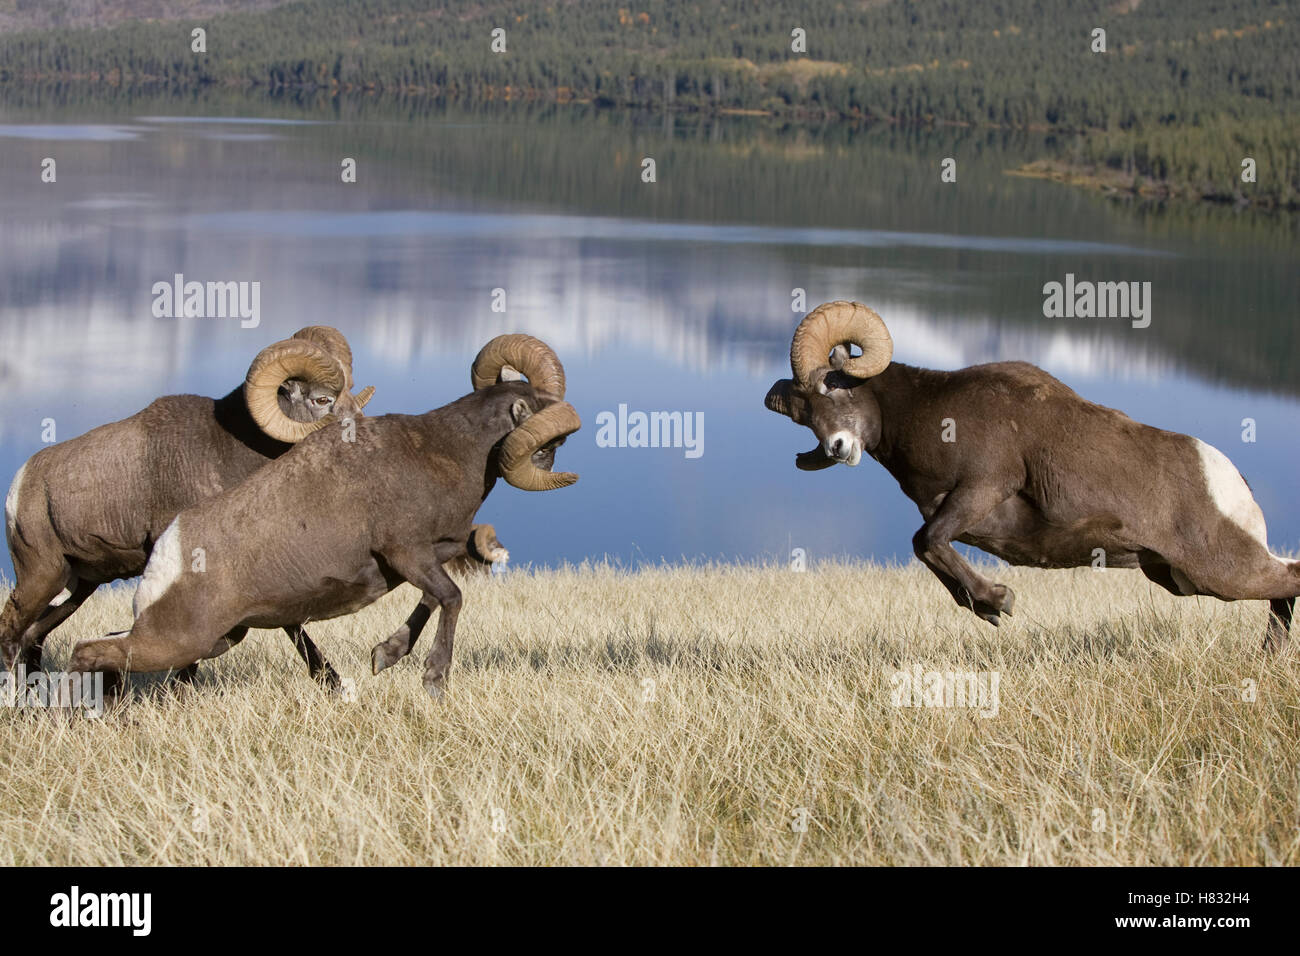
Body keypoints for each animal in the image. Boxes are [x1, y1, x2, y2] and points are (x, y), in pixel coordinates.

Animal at [1, 327, 376, 686]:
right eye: (322, 399)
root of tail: (20, 484)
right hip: (41, 575)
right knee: (12, 630)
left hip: (76, 587)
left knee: (33, 636)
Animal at [67, 334, 581, 700]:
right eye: (552, 442)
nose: (550, 465)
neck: (444, 452)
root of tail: (168, 553)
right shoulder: (407, 552)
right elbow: (451, 598)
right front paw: (434, 681)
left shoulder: (428, 559)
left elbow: (433, 600)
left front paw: (384, 656)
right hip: (179, 640)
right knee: (87, 652)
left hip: (217, 638)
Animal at [764, 300, 1298, 650]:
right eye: (804, 415)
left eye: (833, 387)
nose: (837, 449)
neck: (933, 415)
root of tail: (1234, 483)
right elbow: (928, 547)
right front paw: (986, 607)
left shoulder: (980, 489)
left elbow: (927, 540)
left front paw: (998, 601)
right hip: (1179, 578)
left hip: (1222, 572)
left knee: (1286, 580)